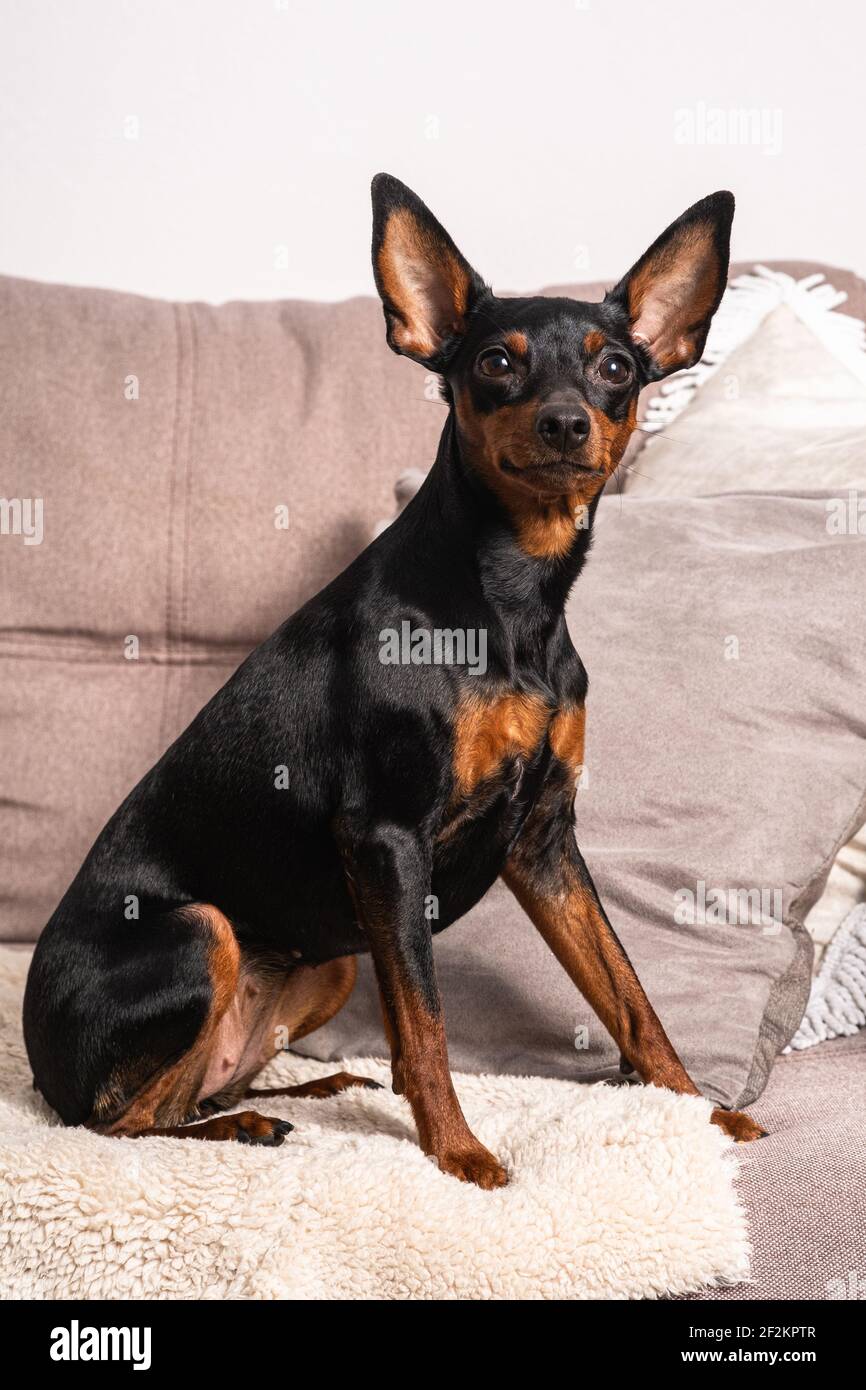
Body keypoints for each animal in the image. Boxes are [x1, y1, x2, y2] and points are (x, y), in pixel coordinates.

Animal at [20, 173, 767, 1189]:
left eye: (617, 367)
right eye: (496, 361)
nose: (567, 422)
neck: (512, 603)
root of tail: (36, 1066)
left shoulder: (543, 841)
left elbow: (627, 996)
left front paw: (700, 1112)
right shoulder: (386, 840)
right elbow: (426, 1024)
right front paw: (460, 1153)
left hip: (325, 961)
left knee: (186, 1091)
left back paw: (305, 1091)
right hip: (205, 931)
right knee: (117, 1122)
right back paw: (243, 1126)